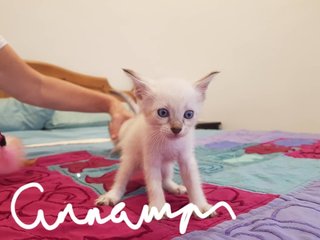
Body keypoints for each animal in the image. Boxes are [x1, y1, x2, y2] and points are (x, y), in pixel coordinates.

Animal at [96, 70, 219, 214]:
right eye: (163, 113)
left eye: (189, 114)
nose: (177, 129)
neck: (168, 142)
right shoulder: (151, 160)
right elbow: (154, 185)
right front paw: (158, 207)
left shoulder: (187, 158)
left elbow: (193, 183)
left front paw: (200, 206)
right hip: (130, 159)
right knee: (121, 179)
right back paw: (111, 196)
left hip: (167, 164)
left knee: (165, 179)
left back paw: (174, 187)